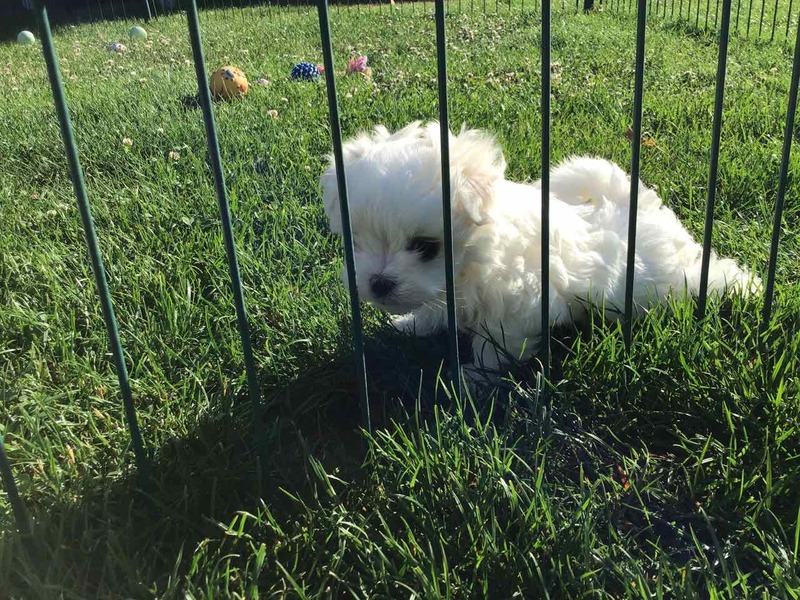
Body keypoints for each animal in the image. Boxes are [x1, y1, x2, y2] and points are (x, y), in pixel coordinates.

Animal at [320, 121, 760, 375]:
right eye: (355, 242)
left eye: (424, 247)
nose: (378, 283)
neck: (474, 260)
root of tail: (631, 203)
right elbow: (434, 309)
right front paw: (412, 324)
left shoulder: (518, 306)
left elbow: (493, 345)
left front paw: (473, 379)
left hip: (666, 279)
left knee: (709, 272)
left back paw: (747, 286)